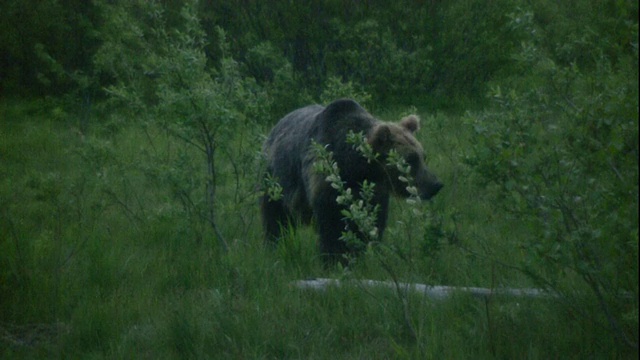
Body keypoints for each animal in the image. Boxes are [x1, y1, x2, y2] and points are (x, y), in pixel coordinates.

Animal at [258, 98, 440, 264]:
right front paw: (335, 258)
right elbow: (333, 224)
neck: (357, 167)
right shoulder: (327, 178)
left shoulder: (373, 189)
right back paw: (273, 245)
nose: (435, 185)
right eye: (410, 160)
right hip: (275, 179)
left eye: (423, 156)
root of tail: (276, 126)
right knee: (275, 217)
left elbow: (374, 220)